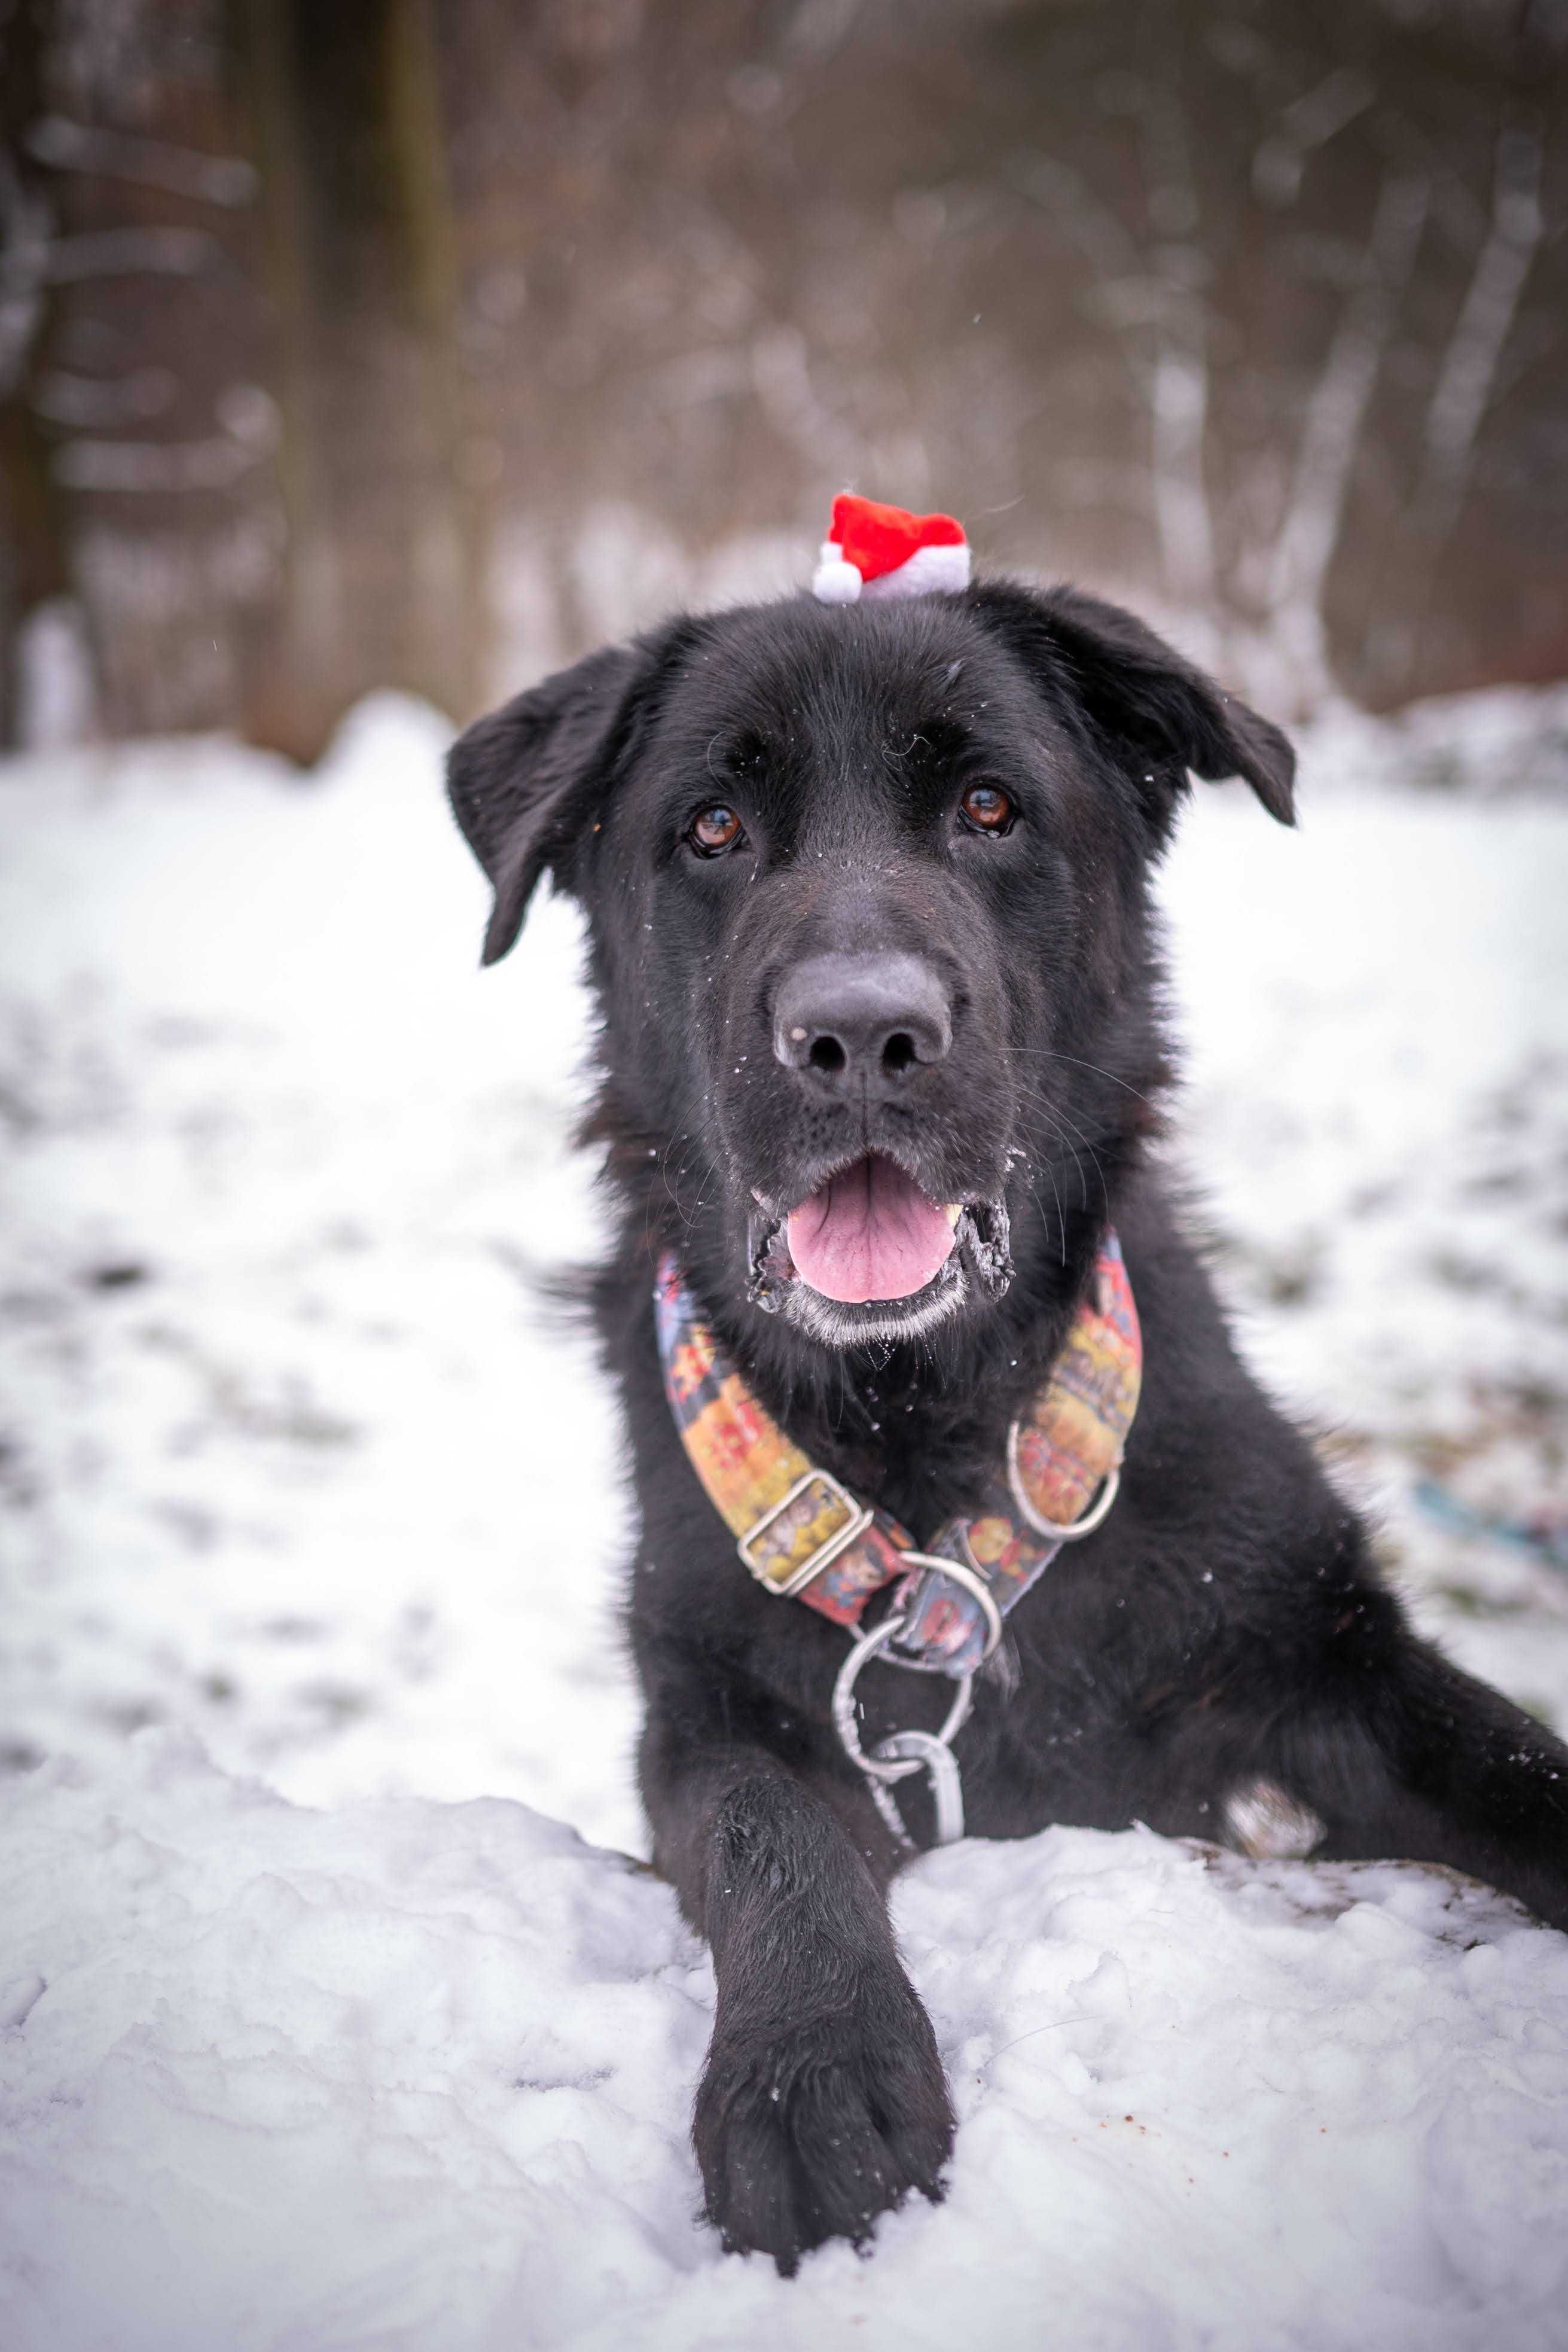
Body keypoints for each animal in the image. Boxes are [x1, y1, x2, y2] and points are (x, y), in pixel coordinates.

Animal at [444, 574, 1568, 2277]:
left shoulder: (1323, 1650)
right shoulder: (701, 1710)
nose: (858, 1035)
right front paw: (812, 2071)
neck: (931, 1420)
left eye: (987, 807)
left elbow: (1519, 1764)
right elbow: (770, 1827)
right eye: (712, 827)